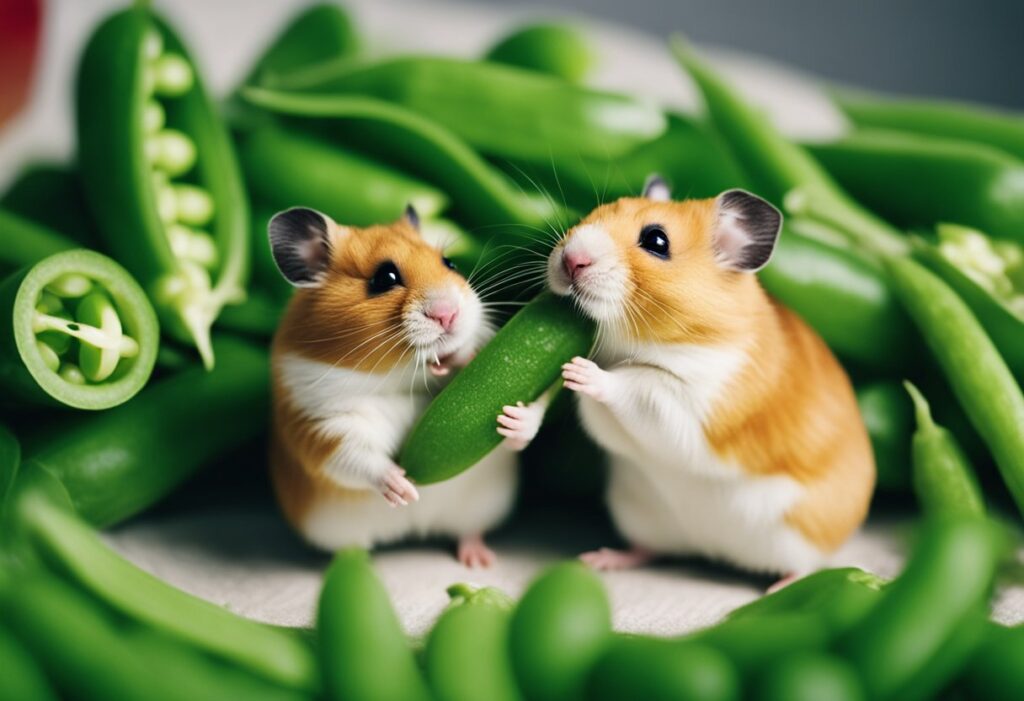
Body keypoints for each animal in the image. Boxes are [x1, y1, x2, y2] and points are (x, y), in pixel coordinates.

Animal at [268, 206, 545, 567]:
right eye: (384, 278)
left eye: (449, 263)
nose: (449, 315)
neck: (404, 382)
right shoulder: (320, 426)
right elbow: (356, 457)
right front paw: (404, 489)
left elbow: (516, 436)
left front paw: (512, 418)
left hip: (479, 507)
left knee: (469, 531)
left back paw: (479, 561)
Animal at [547, 176, 874, 581]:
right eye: (597, 212)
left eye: (657, 241)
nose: (571, 260)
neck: (633, 343)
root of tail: (710, 549)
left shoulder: (692, 403)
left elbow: (635, 386)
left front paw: (579, 371)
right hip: (640, 513)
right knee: (649, 548)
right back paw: (603, 559)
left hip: (799, 536)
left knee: (803, 567)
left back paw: (779, 586)